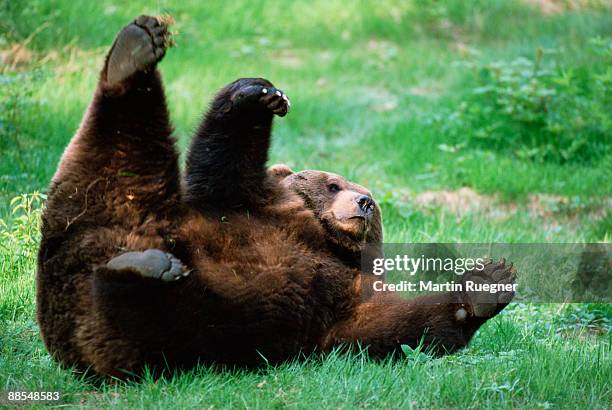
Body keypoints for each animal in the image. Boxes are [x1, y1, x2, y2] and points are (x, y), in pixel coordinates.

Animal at [37, 16, 516, 382]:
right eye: (334, 184)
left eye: (373, 200)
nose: (362, 203)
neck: (325, 241)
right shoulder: (256, 205)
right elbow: (221, 167)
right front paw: (256, 93)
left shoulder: (344, 303)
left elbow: (390, 328)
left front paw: (487, 284)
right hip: (110, 205)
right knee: (120, 144)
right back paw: (133, 52)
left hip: (176, 324)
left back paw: (141, 267)